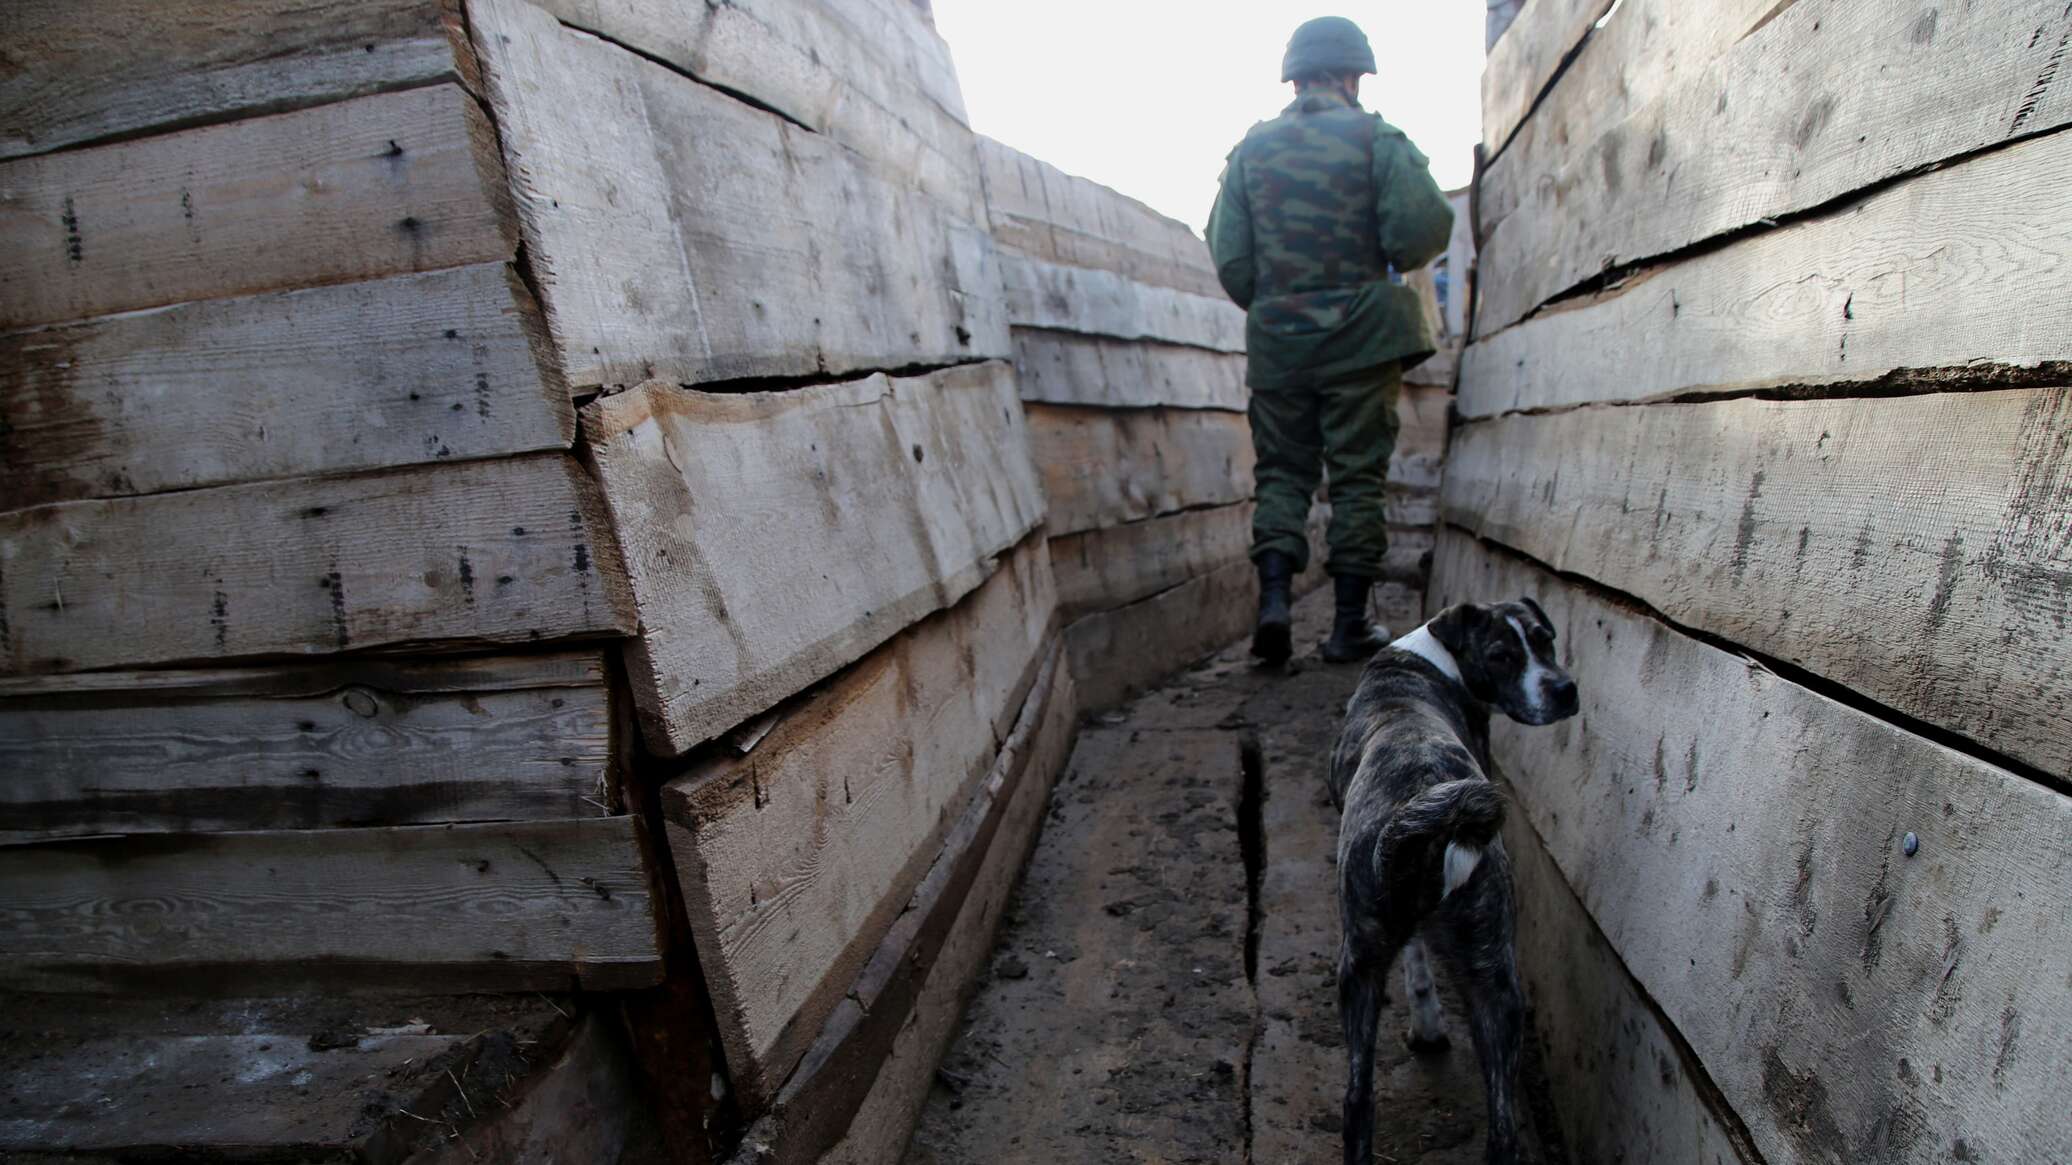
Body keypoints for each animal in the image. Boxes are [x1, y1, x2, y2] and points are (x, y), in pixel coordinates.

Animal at [1326, 592, 1583, 1152]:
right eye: (1502, 656)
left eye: (1545, 639)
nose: (1565, 690)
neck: (1434, 657)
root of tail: (1436, 818)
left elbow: (1417, 964)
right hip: (1488, 978)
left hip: (1366, 966)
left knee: (1359, 1104)